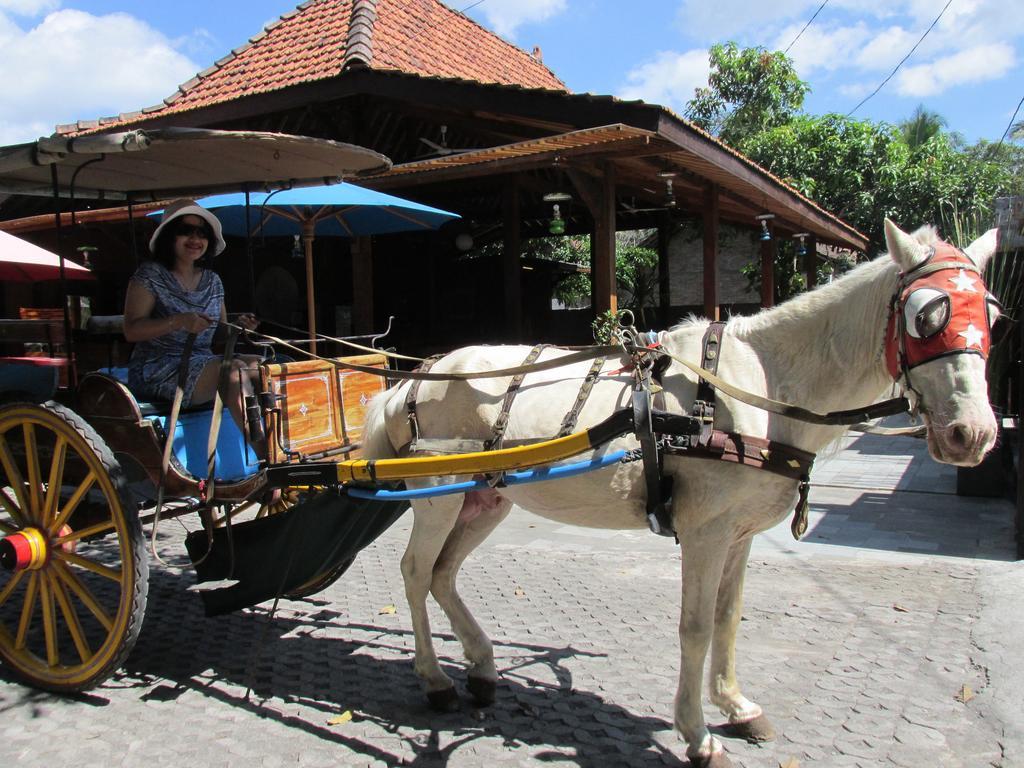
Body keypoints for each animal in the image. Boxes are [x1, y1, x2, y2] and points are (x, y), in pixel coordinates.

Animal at [358, 219, 991, 765]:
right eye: (927, 315)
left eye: (992, 313)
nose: (974, 435)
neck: (760, 384)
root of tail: (417, 376)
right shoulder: (706, 532)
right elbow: (696, 626)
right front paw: (698, 734)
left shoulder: (739, 535)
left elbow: (728, 617)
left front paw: (736, 706)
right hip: (439, 495)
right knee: (415, 572)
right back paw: (435, 680)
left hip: (485, 497)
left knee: (443, 575)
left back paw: (483, 667)